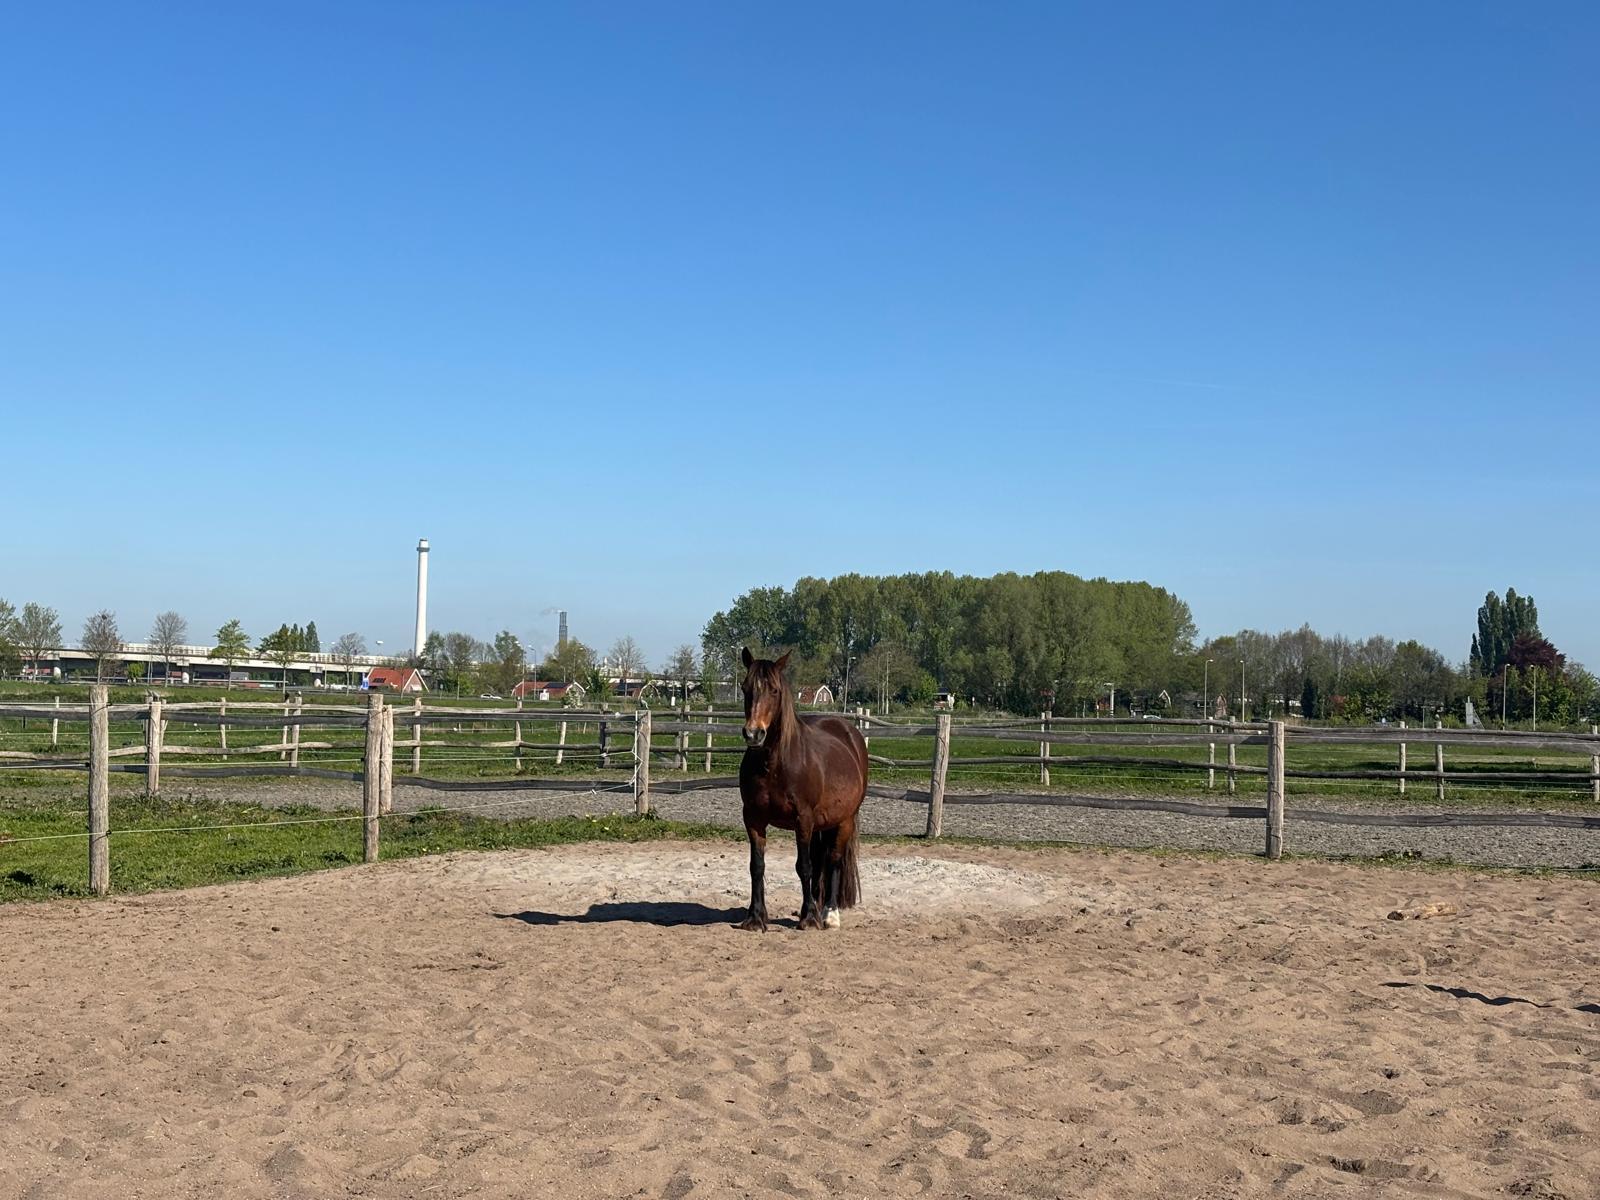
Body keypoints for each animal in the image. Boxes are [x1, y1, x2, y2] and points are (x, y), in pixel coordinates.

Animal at [736, 648, 868, 932]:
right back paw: (815, 906)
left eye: (774, 690)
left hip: (844, 821)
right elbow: (757, 866)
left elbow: (804, 866)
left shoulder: (803, 819)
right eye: (745, 688)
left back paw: (828, 913)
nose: (753, 734)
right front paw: (756, 917)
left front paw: (809, 919)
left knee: (832, 860)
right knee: (820, 863)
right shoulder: (753, 818)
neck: (775, 764)